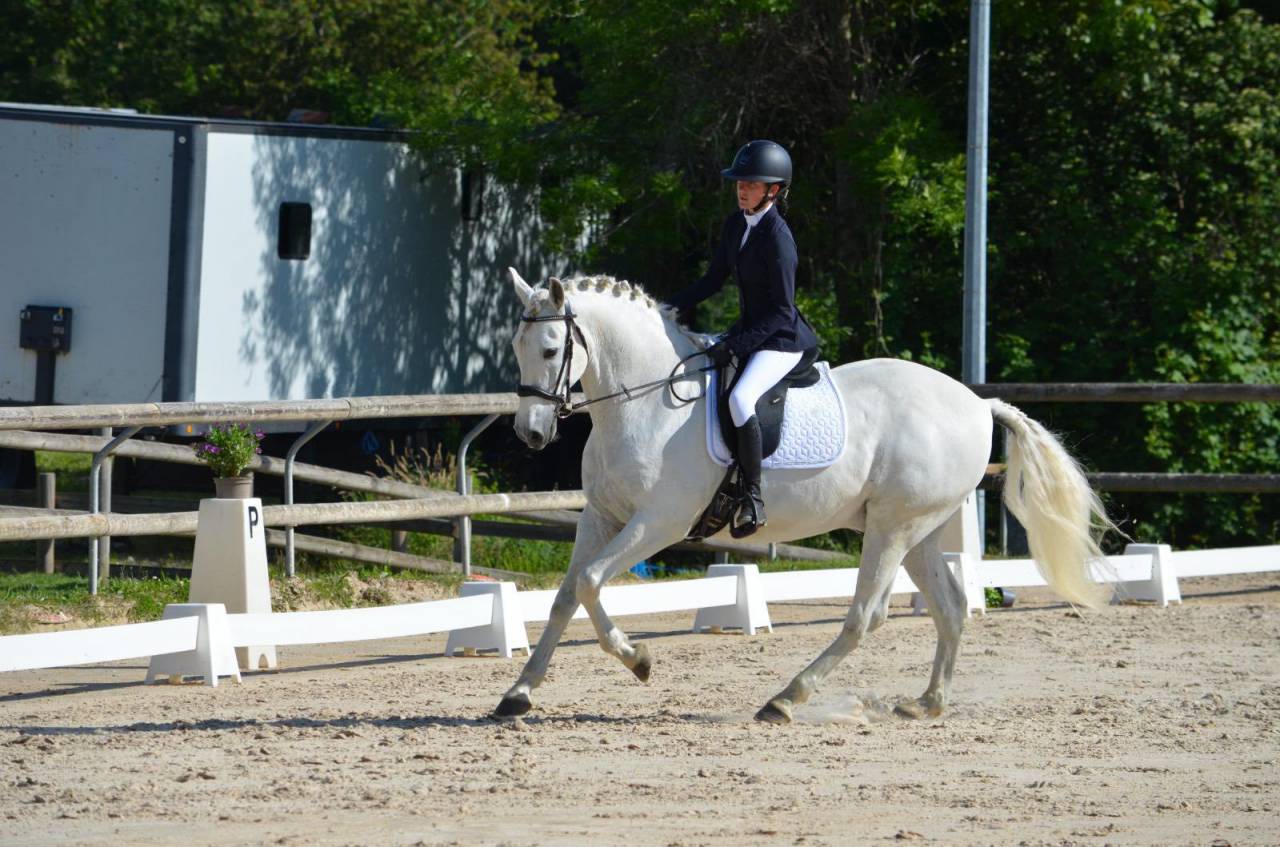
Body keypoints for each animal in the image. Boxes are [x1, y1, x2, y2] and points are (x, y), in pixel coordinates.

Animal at [497, 269, 1112, 723]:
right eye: (517, 348)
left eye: (550, 350)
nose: (532, 435)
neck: (644, 402)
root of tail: (979, 404)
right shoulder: (601, 516)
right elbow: (566, 595)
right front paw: (517, 694)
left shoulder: (660, 522)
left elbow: (591, 581)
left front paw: (639, 660)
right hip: (920, 529)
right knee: (951, 608)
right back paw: (926, 704)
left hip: (892, 528)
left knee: (866, 615)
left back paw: (786, 699)